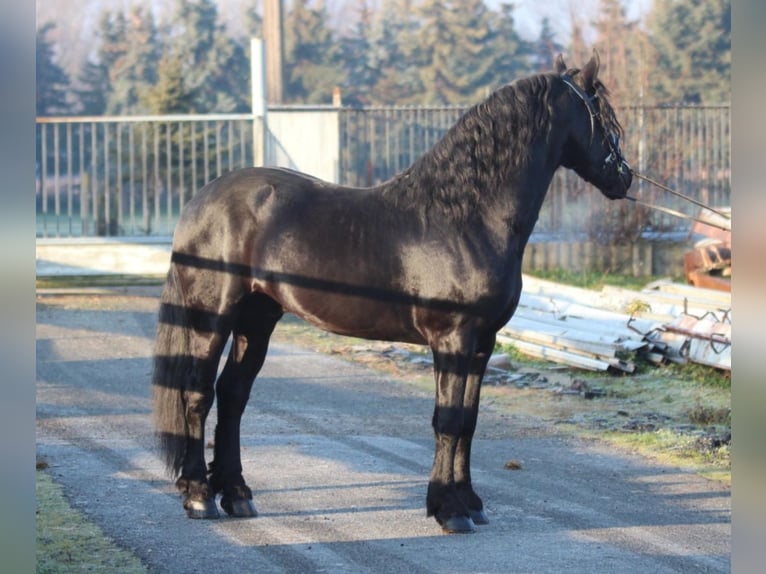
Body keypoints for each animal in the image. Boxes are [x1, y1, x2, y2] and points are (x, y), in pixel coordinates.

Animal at [153, 53, 632, 536]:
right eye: (604, 118)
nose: (625, 178)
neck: (465, 216)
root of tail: (200, 200)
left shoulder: (483, 343)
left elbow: (469, 421)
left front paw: (471, 502)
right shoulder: (453, 339)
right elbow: (448, 420)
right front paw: (449, 510)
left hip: (258, 317)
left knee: (233, 394)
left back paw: (236, 494)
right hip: (212, 316)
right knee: (197, 392)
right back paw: (199, 496)